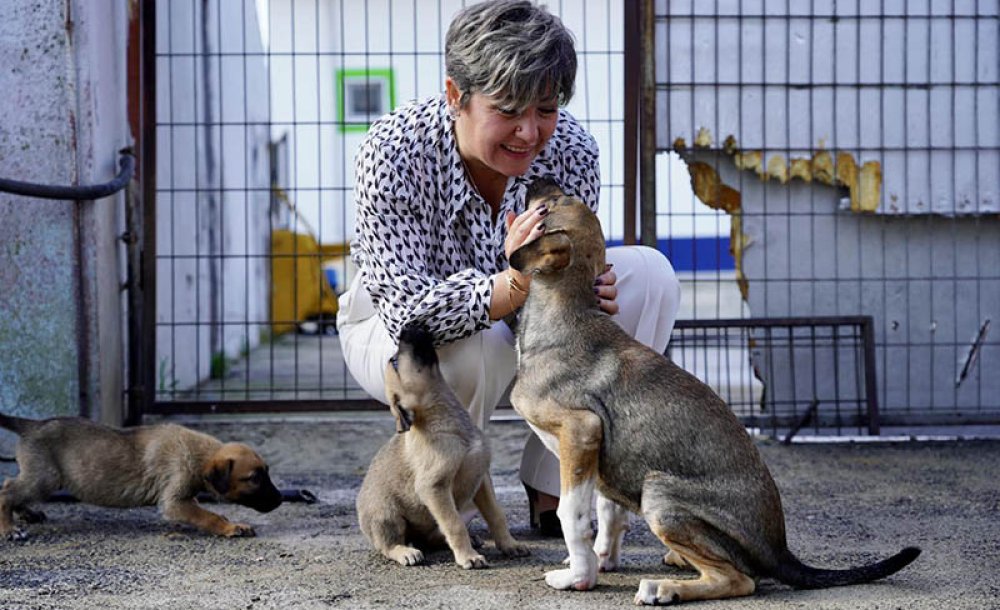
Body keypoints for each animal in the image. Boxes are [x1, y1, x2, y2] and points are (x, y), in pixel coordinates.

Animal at [0, 414, 282, 536]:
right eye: (254, 478)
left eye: (266, 472)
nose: (280, 500)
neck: (199, 454)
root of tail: (32, 425)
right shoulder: (174, 501)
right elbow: (207, 516)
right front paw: (231, 527)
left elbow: (206, 511)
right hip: (45, 478)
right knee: (7, 490)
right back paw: (9, 529)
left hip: (38, 476)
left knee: (14, 488)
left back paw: (27, 513)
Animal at [354, 326, 528, 568]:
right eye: (395, 362)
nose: (406, 327)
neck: (448, 422)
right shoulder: (434, 487)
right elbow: (455, 524)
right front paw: (468, 557)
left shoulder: (481, 478)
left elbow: (496, 514)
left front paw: (509, 545)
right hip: (386, 515)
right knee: (389, 544)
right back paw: (405, 551)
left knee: (433, 536)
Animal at [508, 177, 920, 604]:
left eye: (554, 202)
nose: (537, 179)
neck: (565, 311)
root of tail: (781, 552)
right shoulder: (601, 456)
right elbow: (608, 512)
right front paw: (599, 560)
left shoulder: (582, 430)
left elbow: (571, 515)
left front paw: (579, 577)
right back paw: (674, 563)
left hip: (660, 496)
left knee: (739, 580)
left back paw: (663, 589)